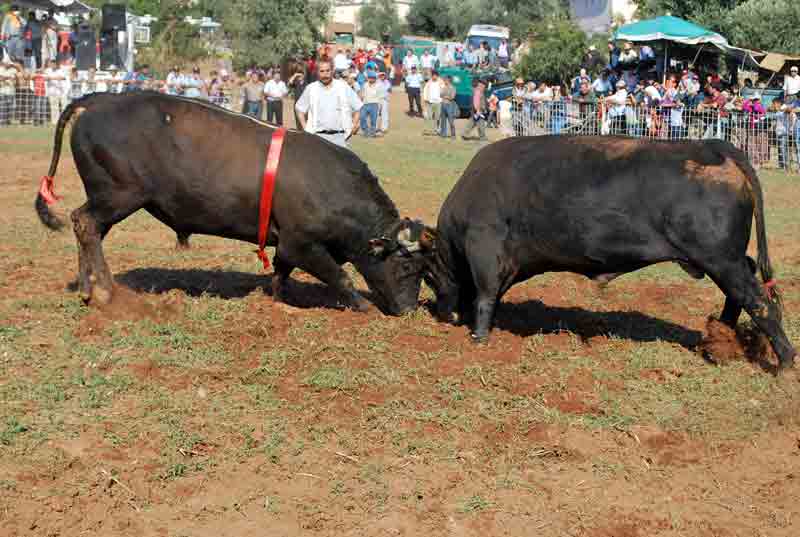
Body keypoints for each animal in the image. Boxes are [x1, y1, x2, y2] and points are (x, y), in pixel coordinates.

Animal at [36, 93, 438, 314]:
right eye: (406, 267)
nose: (406, 310)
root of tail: (101, 100)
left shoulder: (287, 245)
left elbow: (280, 272)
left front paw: (276, 298)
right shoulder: (303, 243)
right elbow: (338, 275)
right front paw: (362, 305)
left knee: (88, 229)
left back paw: (89, 288)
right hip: (118, 196)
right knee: (85, 224)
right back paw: (105, 291)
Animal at [424, 136, 792, 368]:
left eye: (427, 275)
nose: (443, 315)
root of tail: (711, 146)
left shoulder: (485, 248)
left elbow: (485, 296)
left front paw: (479, 338)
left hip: (721, 258)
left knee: (759, 301)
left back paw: (785, 360)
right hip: (727, 260)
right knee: (743, 292)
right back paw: (720, 338)